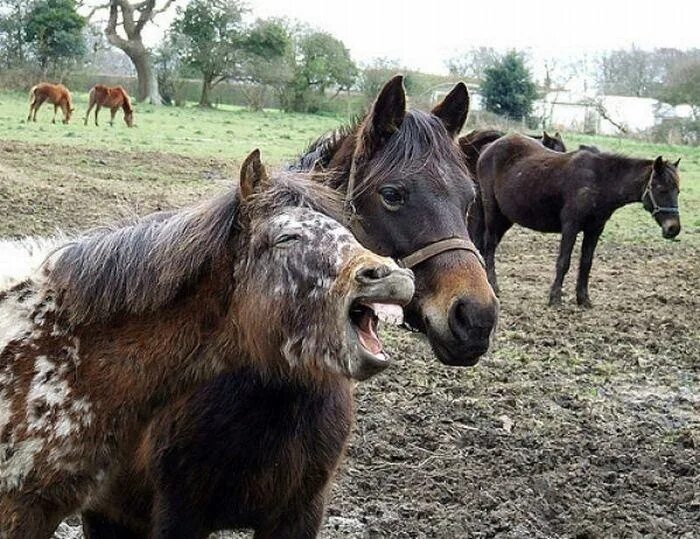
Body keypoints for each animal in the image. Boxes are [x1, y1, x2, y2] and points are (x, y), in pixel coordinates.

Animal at [478, 135, 680, 308]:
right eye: (661, 189)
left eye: (677, 191)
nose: (673, 228)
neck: (600, 180)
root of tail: (488, 148)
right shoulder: (571, 226)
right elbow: (564, 261)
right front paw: (555, 298)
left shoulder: (594, 230)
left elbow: (586, 263)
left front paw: (583, 299)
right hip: (493, 212)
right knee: (490, 245)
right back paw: (493, 285)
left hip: (506, 217)